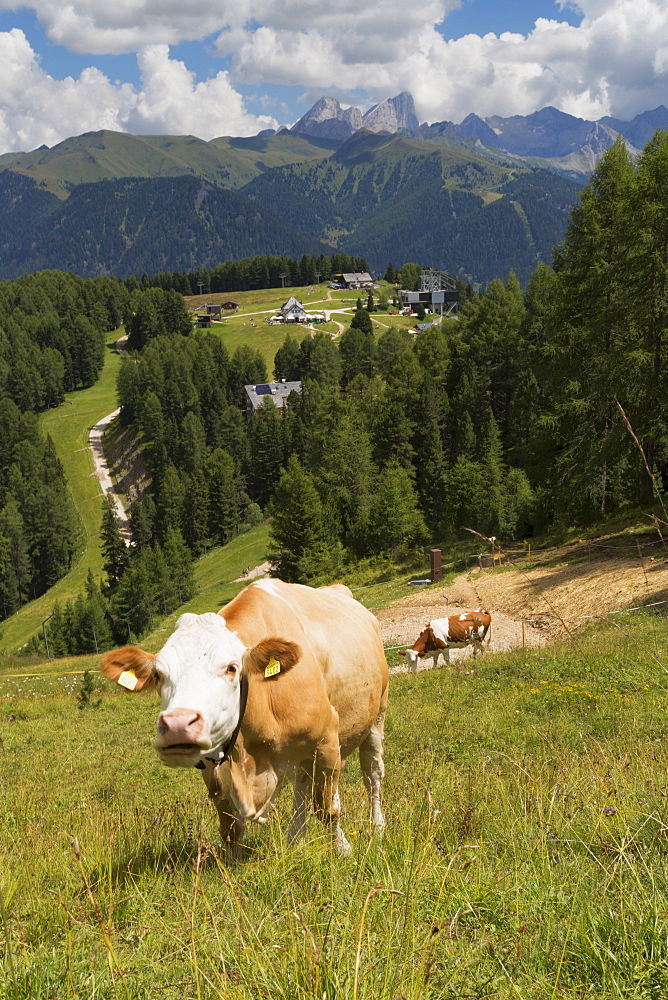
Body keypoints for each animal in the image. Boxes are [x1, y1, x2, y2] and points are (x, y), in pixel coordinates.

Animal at [102, 584, 388, 856]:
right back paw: (295, 841)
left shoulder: (326, 739)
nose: (177, 725)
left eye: (231, 667)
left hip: (376, 716)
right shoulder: (211, 765)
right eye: (158, 675)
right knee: (302, 786)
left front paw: (342, 850)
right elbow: (229, 826)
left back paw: (377, 825)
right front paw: (232, 862)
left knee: (371, 774)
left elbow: (327, 809)